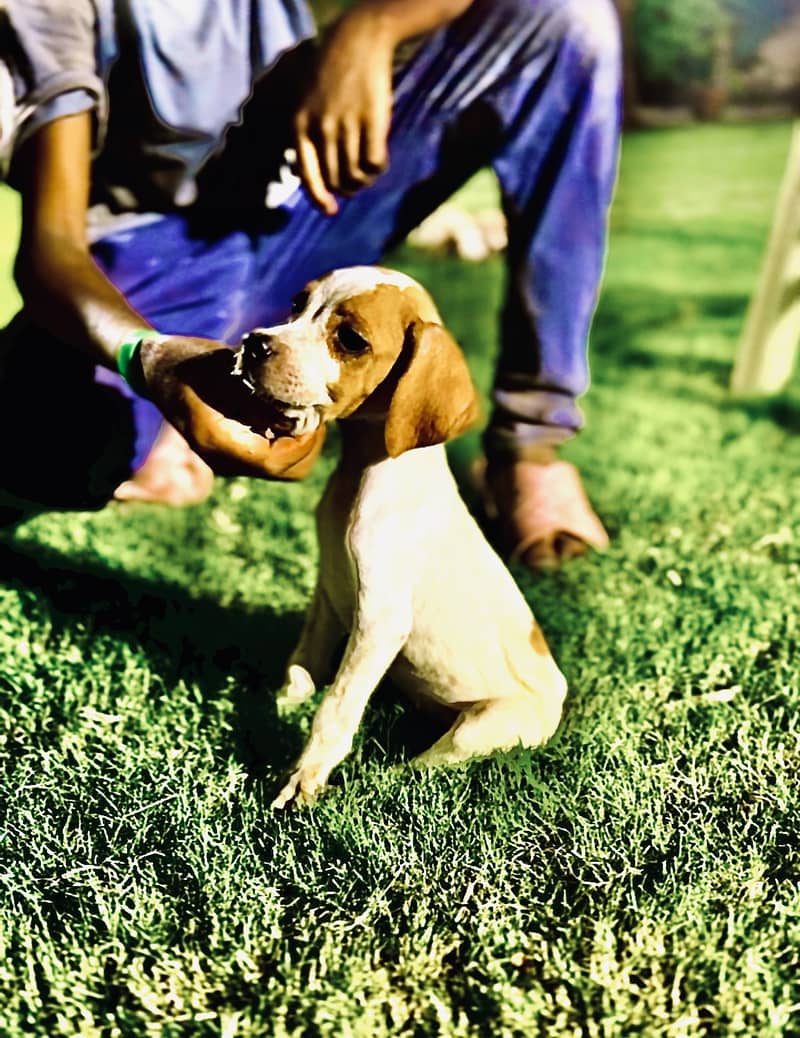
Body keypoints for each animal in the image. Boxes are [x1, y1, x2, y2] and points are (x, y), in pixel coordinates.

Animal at [233, 263, 568, 805]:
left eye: (350, 339)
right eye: (297, 306)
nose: (256, 343)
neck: (362, 471)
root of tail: (559, 695)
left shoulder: (380, 621)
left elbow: (335, 706)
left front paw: (305, 777)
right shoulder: (327, 595)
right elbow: (302, 667)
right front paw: (280, 705)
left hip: (479, 728)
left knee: (423, 767)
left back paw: (378, 779)